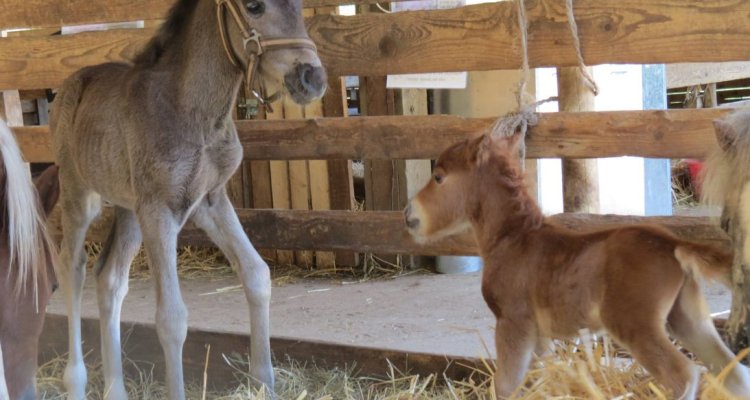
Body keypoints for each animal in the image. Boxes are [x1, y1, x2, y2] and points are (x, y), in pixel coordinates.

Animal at [408, 133, 750, 398]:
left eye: (438, 177)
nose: (408, 213)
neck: (514, 238)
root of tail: (672, 244)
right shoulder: (537, 333)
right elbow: (536, 378)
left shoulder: (512, 322)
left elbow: (506, 386)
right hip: (688, 319)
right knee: (733, 372)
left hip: (636, 326)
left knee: (685, 376)